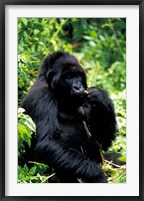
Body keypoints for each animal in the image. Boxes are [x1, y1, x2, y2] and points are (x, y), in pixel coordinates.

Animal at [21, 51, 117, 183]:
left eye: (77, 75)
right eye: (68, 76)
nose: (78, 86)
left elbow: (102, 140)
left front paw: (100, 96)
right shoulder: (41, 97)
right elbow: (47, 142)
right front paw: (98, 175)